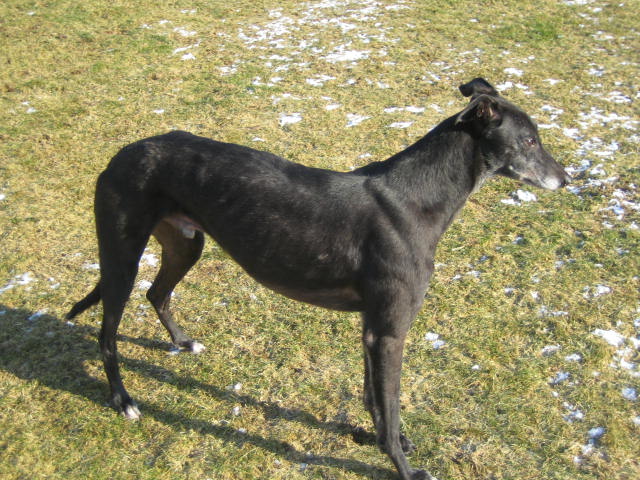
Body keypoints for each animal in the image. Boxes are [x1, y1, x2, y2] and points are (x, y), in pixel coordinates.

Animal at [67, 78, 570, 480]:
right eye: (529, 140)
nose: (566, 180)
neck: (417, 196)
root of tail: (124, 152)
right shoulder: (390, 330)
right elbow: (389, 405)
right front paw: (404, 467)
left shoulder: (371, 326)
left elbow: (374, 398)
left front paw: (383, 439)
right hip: (121, 255)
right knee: (108, 332)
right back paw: (123, 400)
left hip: (185, 242)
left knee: (157, 292)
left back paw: (181, 341)